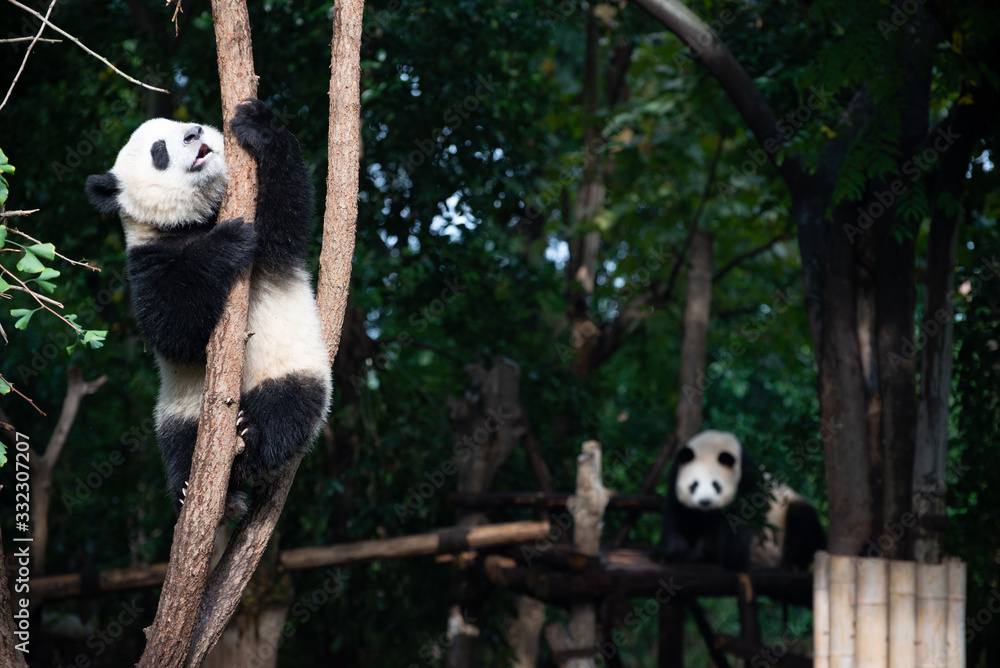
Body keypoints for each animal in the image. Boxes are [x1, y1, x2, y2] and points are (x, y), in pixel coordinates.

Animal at [86, 99, 332, 511]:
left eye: (186, 124)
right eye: (158, 151)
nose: (193, 134)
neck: (195, 220)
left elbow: (285, 216)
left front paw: (260, 125)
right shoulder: (145, 261)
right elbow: (174, 329)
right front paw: (227, 242)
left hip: (293, 367)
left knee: (287, 409)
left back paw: (249, 436)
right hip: (180, 409)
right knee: (179, 442)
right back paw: (194, 485)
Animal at [653, 430, 825, 571]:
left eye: (716, 485)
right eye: (694, 484)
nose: (705, 502)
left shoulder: (747, 478)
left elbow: (741, 519)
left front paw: (732, 559)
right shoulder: (676, 478)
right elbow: (677, 516)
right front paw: (667, 554)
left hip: (786, 512)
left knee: (803, 520)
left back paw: (798, 561)